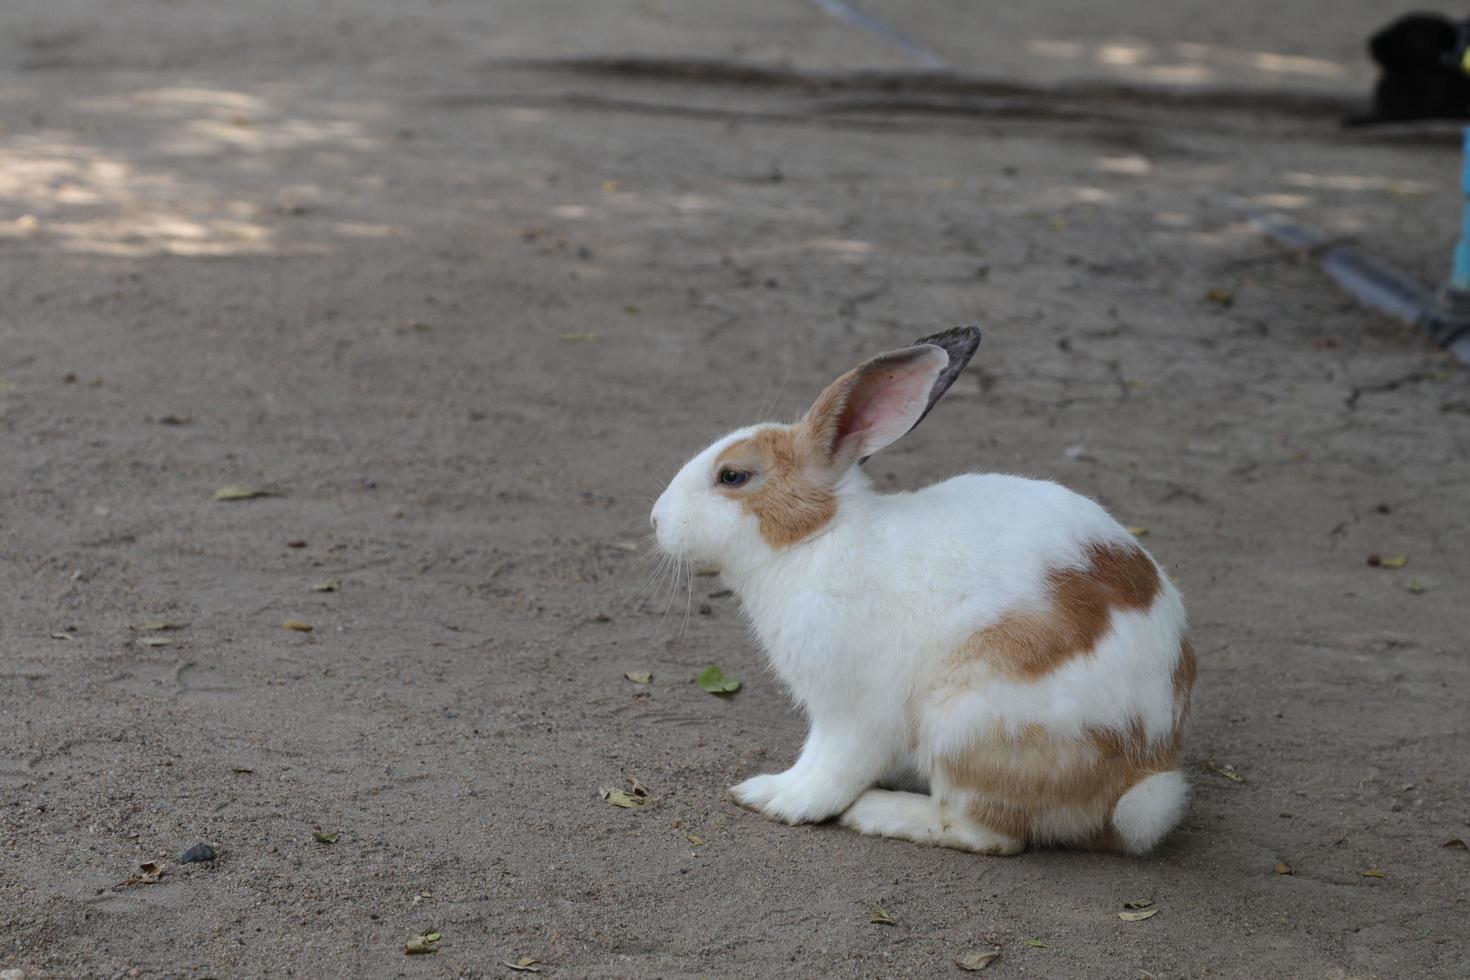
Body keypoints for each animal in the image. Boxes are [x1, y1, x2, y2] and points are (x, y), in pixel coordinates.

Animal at [652, 326, 1193, 852]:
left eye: (733, 476)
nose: (656, 519)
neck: (817, 538)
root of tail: (1137, 780)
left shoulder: (853, 712)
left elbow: (829, 769)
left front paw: (776, 798)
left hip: (966, 721)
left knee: (988, 830)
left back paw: (878, 811)